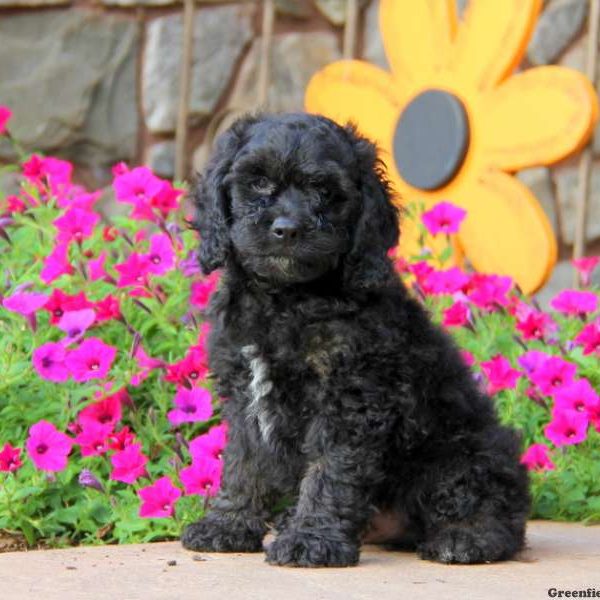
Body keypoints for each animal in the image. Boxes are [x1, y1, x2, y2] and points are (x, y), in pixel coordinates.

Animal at [182, 111, 528, 568]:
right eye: (257, 183)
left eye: (325, 192)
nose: (286, 230)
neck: (286, 298)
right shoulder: (244, 391)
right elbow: (243, 464)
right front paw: (227, 525)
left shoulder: (352, 394)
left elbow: (330, 471)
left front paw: (311, 540)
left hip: (464, 451)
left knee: (493, 507)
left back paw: (466, 538)